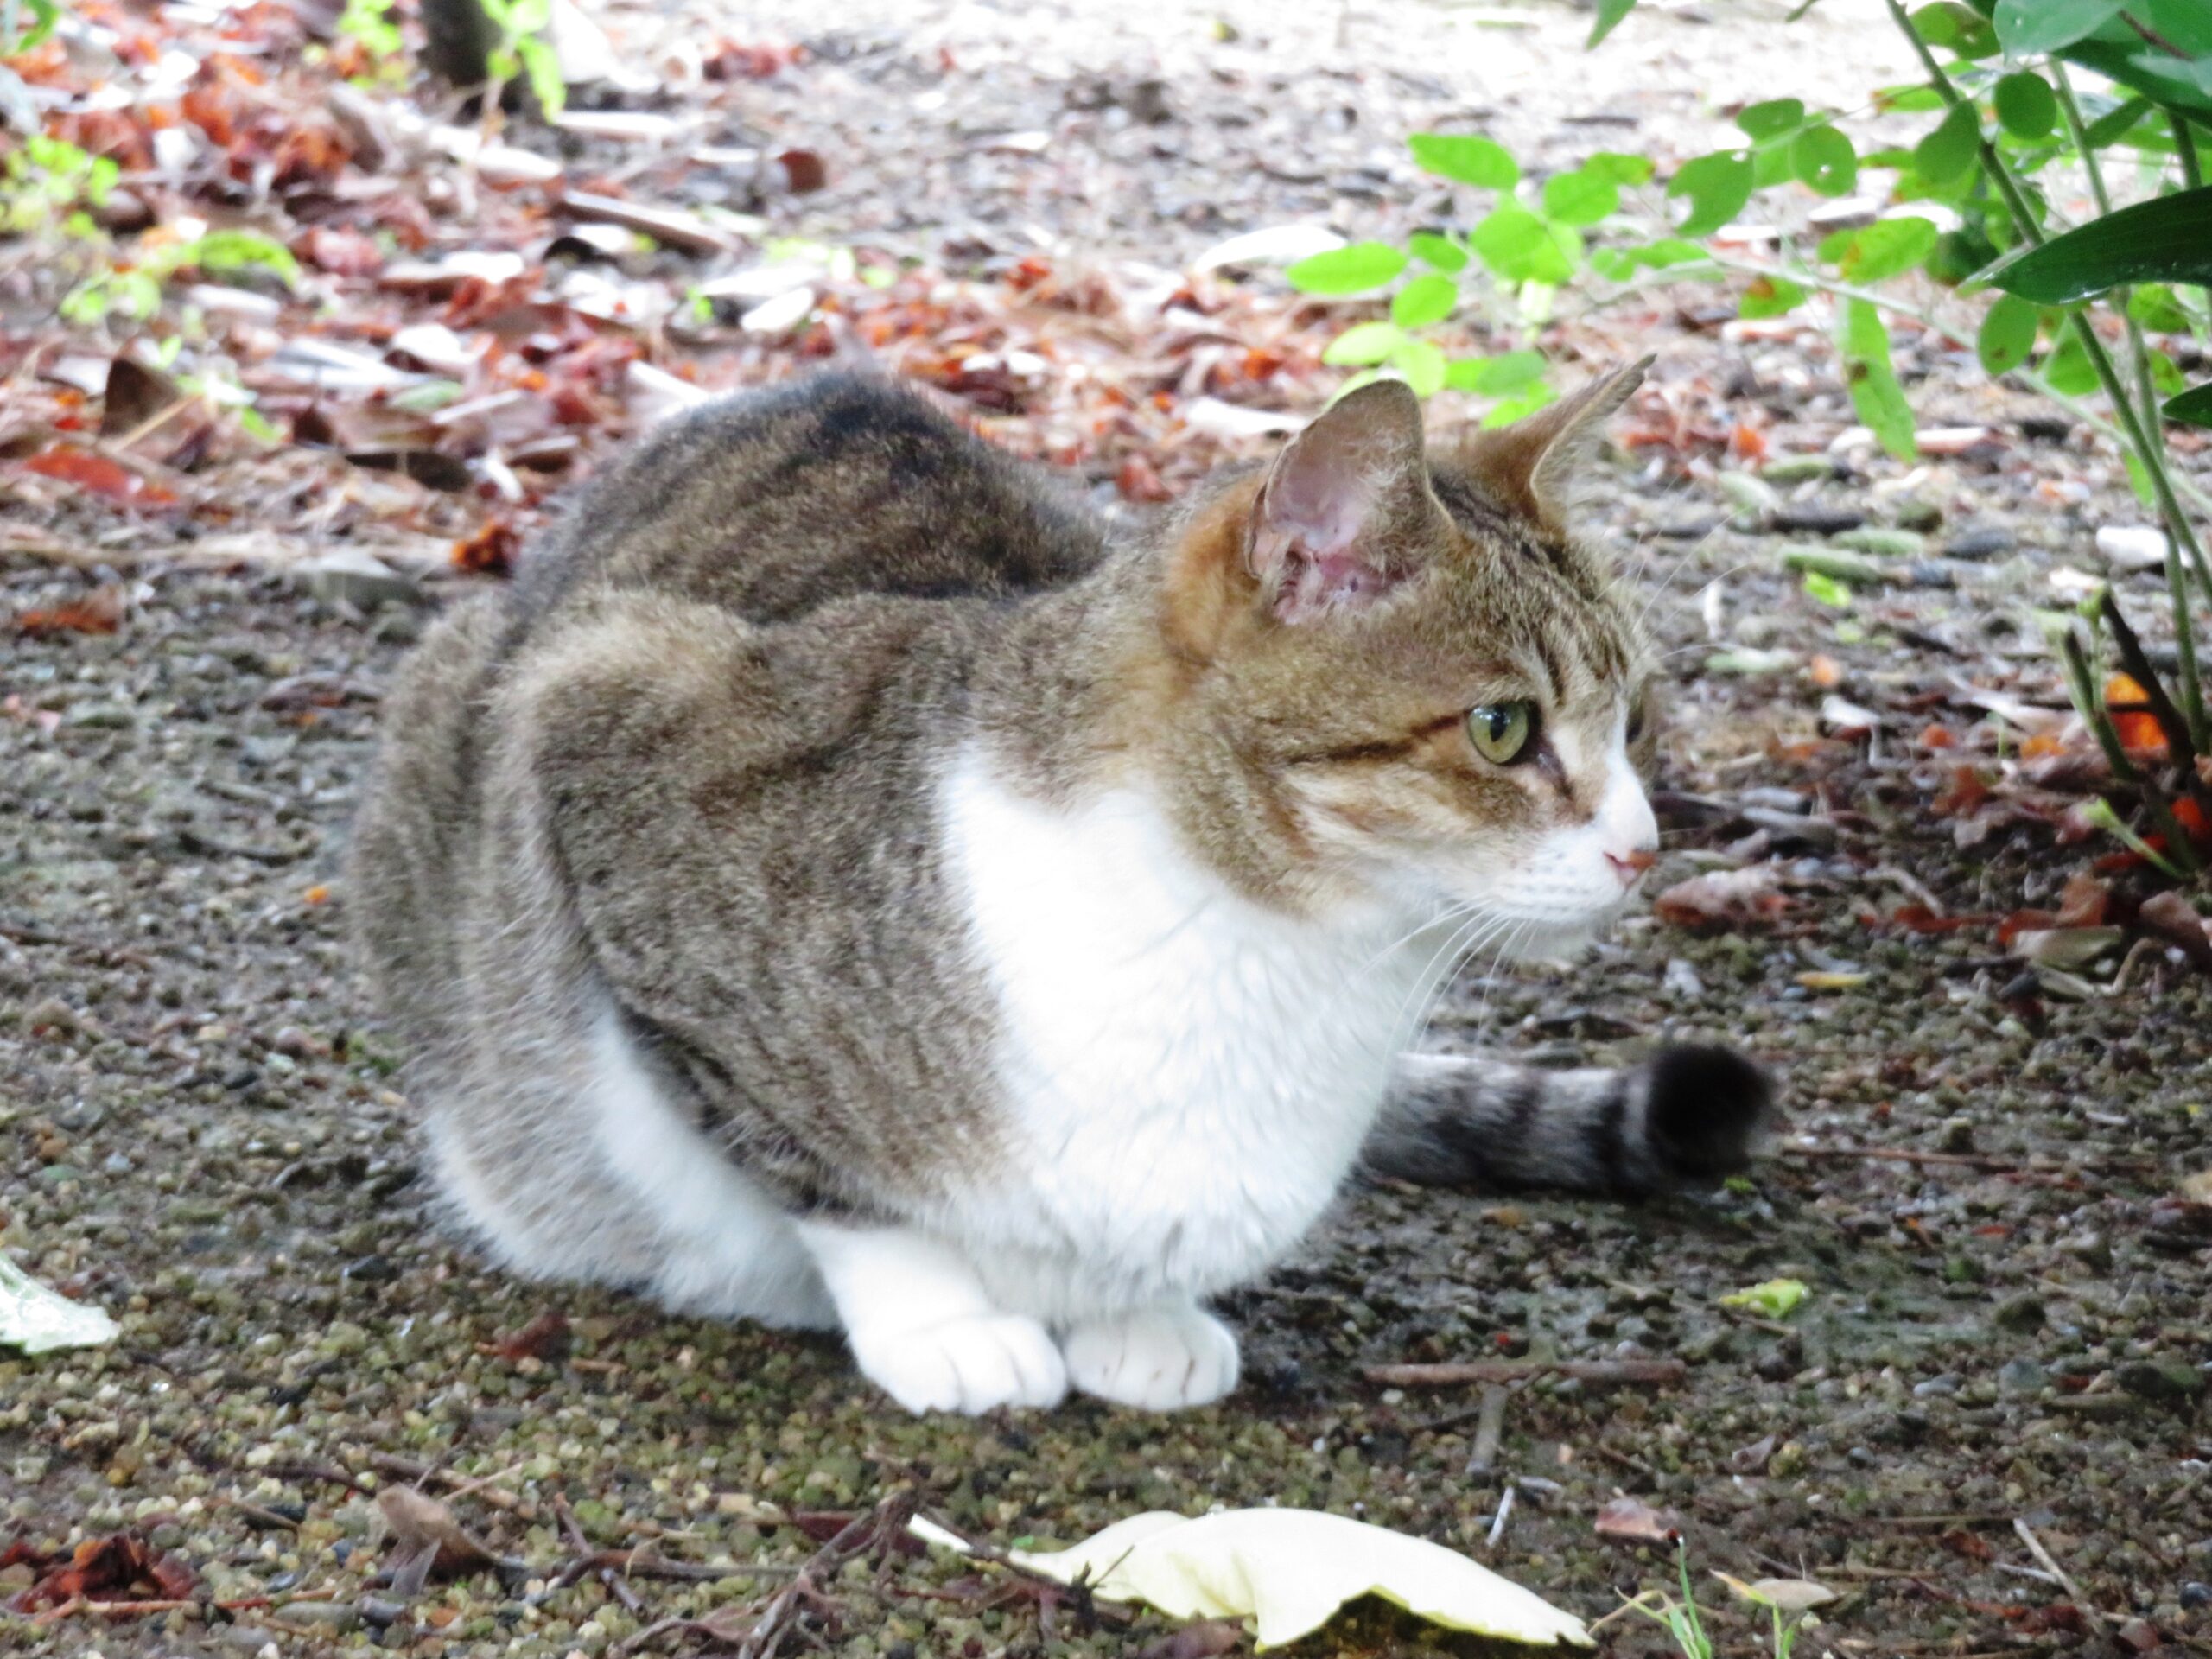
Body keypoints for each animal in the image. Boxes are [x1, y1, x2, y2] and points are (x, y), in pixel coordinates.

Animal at [353, 362, 1770, 1415]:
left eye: (1637, 721)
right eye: (1500, 729)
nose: (1642, 848)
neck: (1266, 948)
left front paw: (1134, 1315)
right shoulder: (611, 734)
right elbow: (820, 1170)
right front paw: (941, 1319)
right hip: (459, 692)